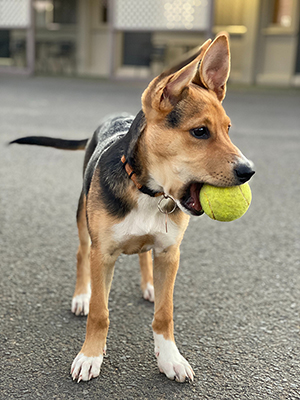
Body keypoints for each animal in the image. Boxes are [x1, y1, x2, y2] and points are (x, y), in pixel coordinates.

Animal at [11, 36, 255, 382]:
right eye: (200, 132)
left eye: (228, 129)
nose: (249, 171)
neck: (147, 192)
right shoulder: (103, 254)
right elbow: (100, 312)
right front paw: (90, 355)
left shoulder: (169, 253)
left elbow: (164, 314)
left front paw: (170, 358)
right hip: (83, 220)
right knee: (81, 254)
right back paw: (81, 295)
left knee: (142, 256)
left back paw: (149, 285)